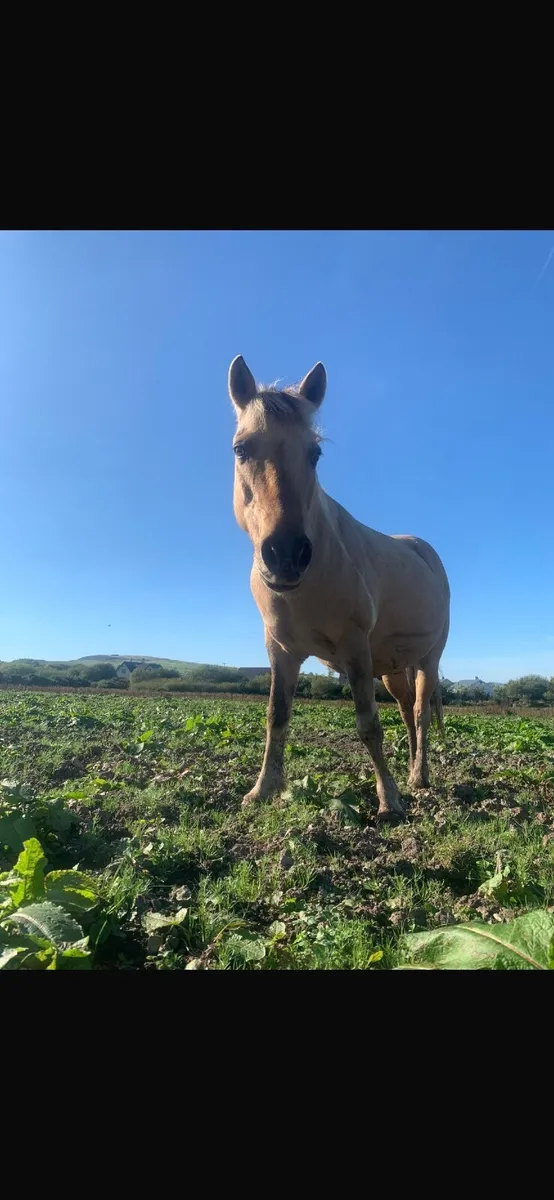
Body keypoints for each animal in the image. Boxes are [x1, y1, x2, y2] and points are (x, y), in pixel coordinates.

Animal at [228, 355, 450, 820]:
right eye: (241, 448)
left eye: (315, 453)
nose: (286, 554)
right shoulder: (281, 651)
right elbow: (276, 718)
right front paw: (262, 790)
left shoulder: (354, 647)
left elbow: (368, 725)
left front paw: (389, 800)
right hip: (393, 667)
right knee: (406, 710)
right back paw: (410, 768)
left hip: (428, 658)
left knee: (421, 712)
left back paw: (418, 778)